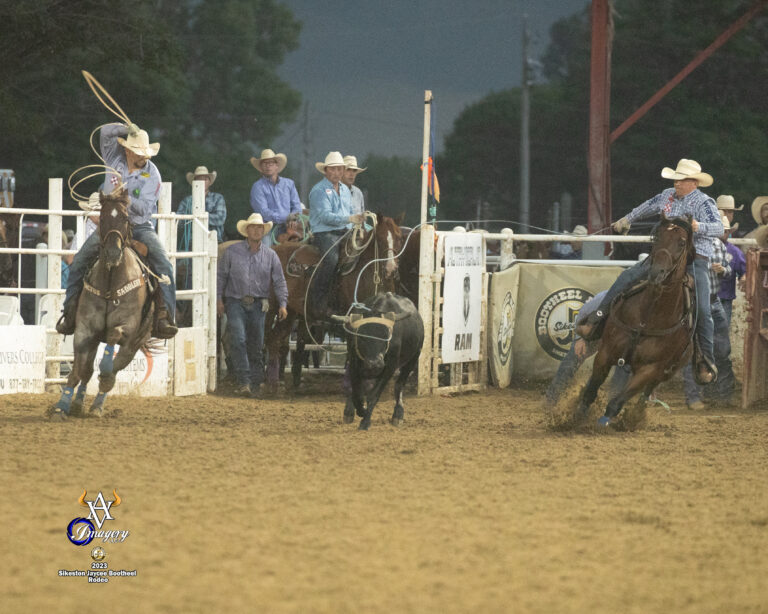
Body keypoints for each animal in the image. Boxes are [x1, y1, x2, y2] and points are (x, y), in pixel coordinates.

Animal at [49, 191, 154, 424]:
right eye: (103, 218)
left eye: (125, 219)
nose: (114, 254)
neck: (110, 283)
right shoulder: (86, 330)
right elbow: (78, 372)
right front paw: (61, 407)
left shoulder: (127, 327)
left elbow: (112, 345)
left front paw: (104, 372)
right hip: (95, 338)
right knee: (87, 371)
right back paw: (78, 404)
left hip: (134, 344)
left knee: (114, 370)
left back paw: (97, 404)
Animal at [264, 214, 404, 392]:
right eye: (379, 238)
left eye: (399, 238)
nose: (391, 269)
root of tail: (273, 250)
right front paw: (352, 385)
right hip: (272, 307)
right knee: (269, 339)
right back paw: (269, 383)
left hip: (289, 312)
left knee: (276, 340)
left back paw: (280, 383)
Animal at [576, 215, 696, 428]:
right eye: (656, 237)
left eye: (682, 243)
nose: (656, 272)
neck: (648, 317)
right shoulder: (606, 352)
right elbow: (591, 389)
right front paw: (576, 417)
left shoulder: (651, 369)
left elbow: (616, 403)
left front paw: (605, 422)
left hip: (665, 373)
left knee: (645, 394)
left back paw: (637, 415)